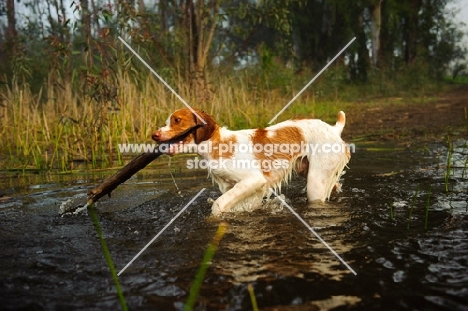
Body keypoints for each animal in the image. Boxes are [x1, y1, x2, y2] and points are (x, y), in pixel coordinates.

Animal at [152, 109, 350, 217]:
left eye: (177, 120)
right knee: (334, 185)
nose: (154, 135)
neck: (217, 144)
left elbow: (217, 205)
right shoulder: (241, 188)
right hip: (308, 171)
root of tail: (334, 128)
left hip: (315, 183)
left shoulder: (254, 180)